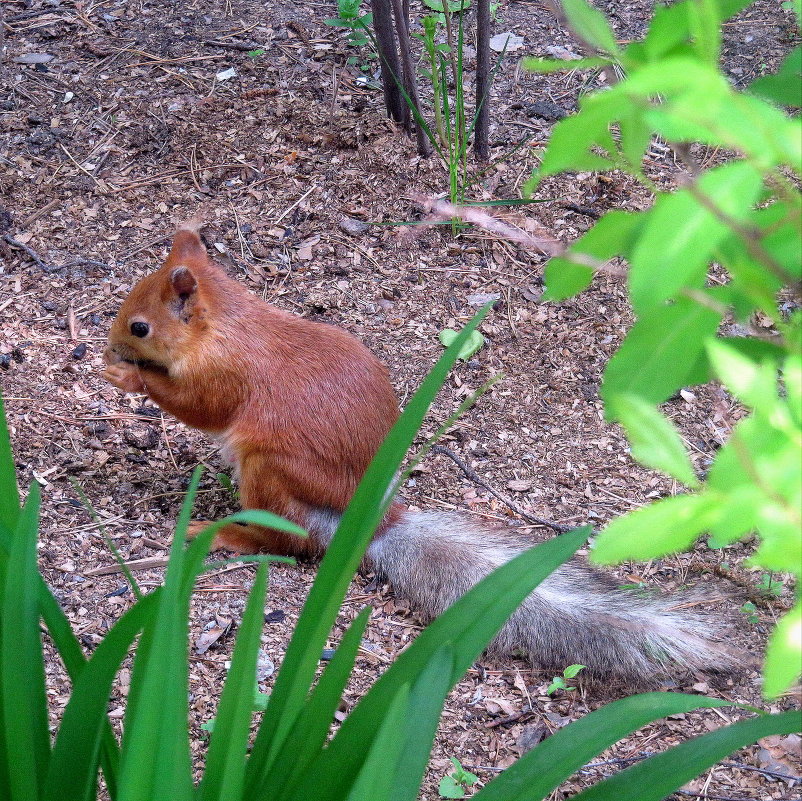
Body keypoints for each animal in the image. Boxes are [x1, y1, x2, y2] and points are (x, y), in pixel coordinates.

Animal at [104, 225, 736, 680]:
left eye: (140, 327)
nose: (109, 343)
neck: (226, 325)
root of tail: (370, 519)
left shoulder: (226, 378)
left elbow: (199, 406)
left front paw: (127, 378)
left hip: (268, 466)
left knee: (291, 540)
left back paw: (229, 534)